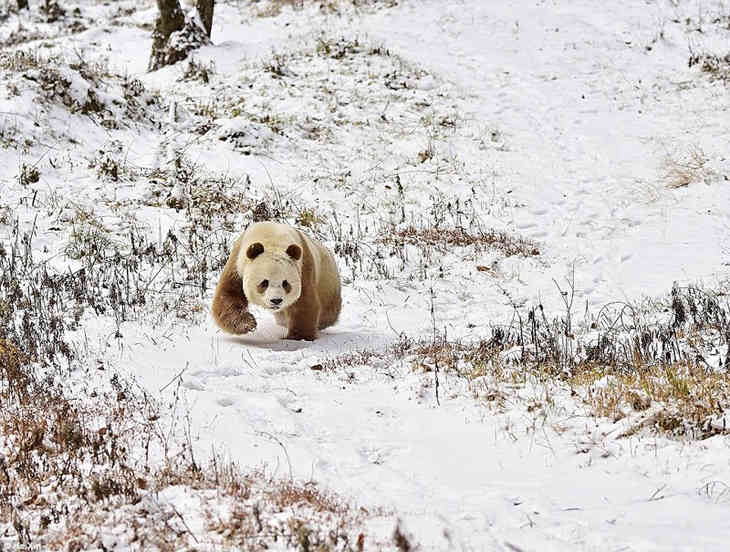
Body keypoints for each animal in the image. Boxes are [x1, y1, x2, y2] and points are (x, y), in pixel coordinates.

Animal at [210, 221, 342, 340]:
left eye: (285, 283)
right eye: (264, 282)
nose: (276, 300)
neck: (272, 238)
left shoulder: (303, 267)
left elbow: (304, 303)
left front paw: (297, 337)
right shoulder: (237, 264)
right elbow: (228, 295)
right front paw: (248, 324)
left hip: (327, 283)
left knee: (328, 312)